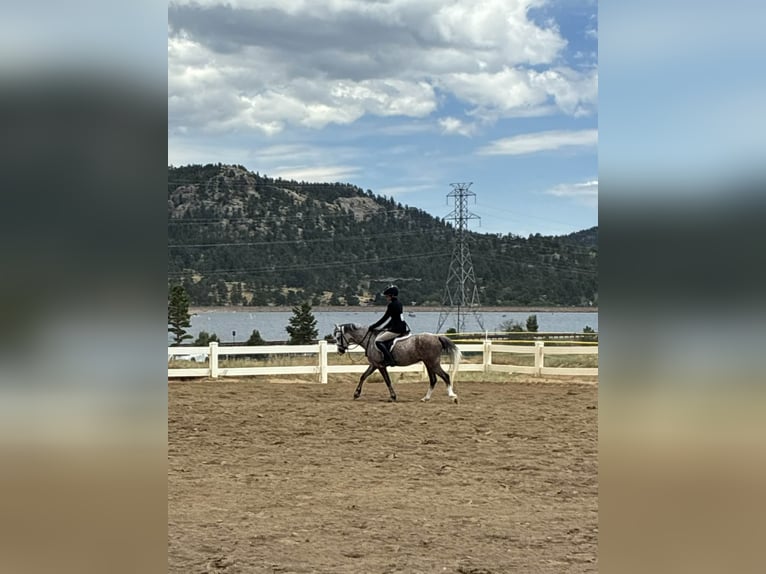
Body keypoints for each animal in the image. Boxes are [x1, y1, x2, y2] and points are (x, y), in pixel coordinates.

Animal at [332, 323, 461, 403]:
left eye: (338, 337)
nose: (339, 351)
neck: (371, 340)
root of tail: (437, 337)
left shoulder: (380, 366)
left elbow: (387, 381)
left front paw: (393, 397)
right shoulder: (374, 364)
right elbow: (363, 376)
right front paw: (356, 394)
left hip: (433, 363)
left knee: (445, 376)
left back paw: (453, 397)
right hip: (428, 363)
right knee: (433, 380)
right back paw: (425, 398)